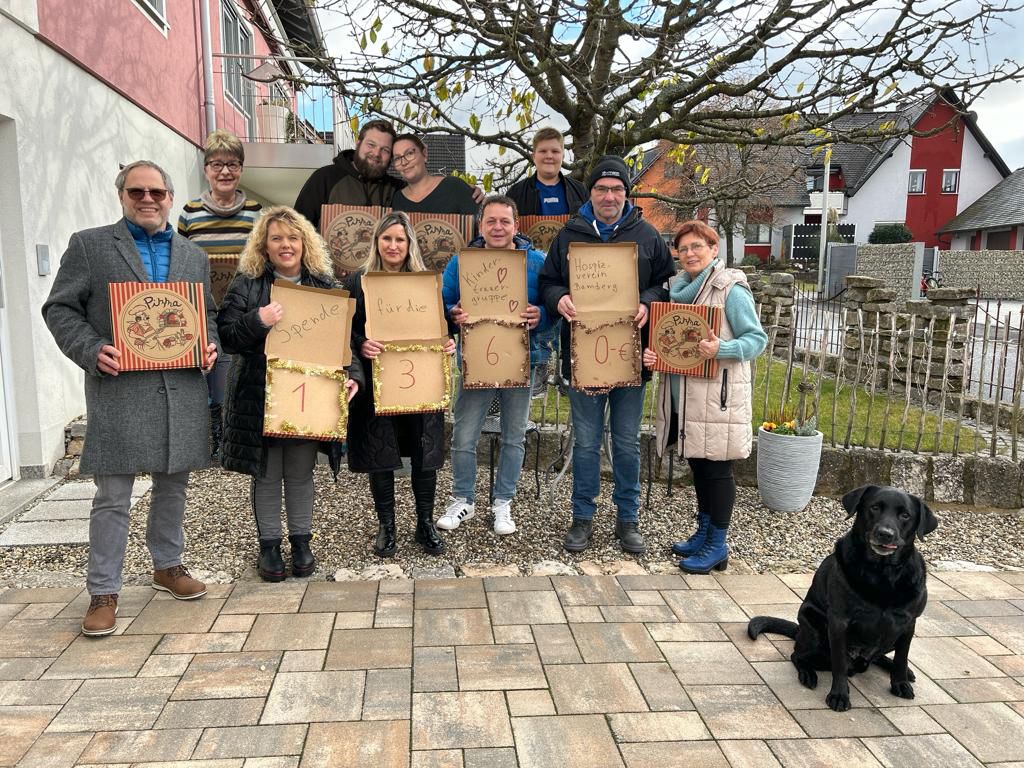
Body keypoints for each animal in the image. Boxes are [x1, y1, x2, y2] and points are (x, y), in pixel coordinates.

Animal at [745, 487, 937, 716]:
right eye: (874, 507)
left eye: (905, 515)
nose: (885, 533)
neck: (881, 574)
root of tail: (799, 631)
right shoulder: (839, 622)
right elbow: (839, 664)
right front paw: (839, 695)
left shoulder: (908, 623)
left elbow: (902, 656)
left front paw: (900, 682)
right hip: (813, 625)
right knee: (798, 655)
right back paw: (808, 674)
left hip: (890, 638)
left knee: (880, 656)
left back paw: (902, 670)